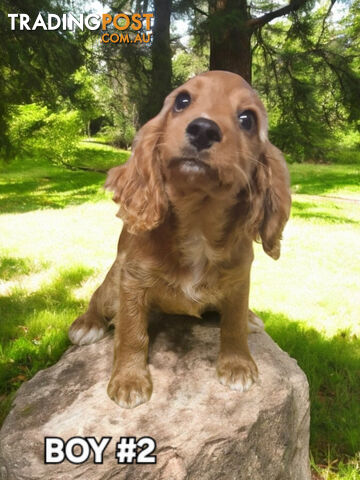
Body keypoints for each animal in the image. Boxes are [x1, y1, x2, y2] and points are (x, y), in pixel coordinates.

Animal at [69, 71, 292, 408]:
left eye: (247, 119)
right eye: (182, 101)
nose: (203, 129)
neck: (198, 219)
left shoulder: (240, 279)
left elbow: (233, 322)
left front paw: (238, 365)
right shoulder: (132, 281)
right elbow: (131, 332)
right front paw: (129, 380)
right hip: (111, 285)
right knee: (98, 298)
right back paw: (87, 324)